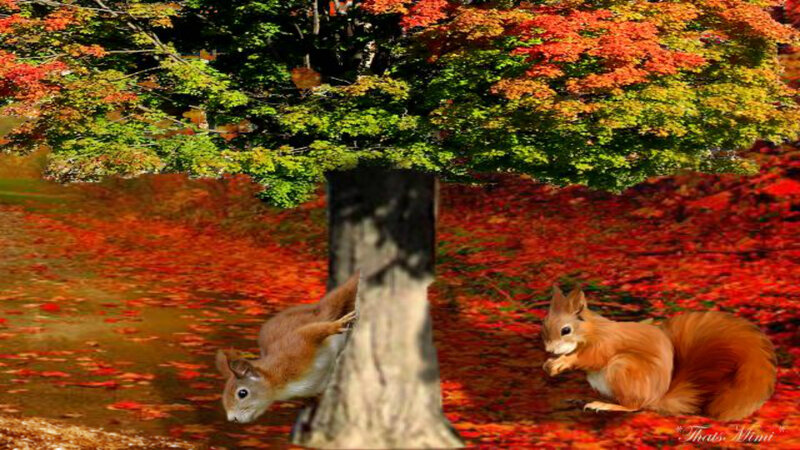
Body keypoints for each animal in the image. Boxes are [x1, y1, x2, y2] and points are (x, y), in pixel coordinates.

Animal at [216, 272, 359, 424]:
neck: (281, 385)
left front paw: (337, 325)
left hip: (330, 308)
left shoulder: (298, 344)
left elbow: (313, 331)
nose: (232, 419)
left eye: (242, 393)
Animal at [542, 286, 776, 420]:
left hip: (623, 368)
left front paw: (562, 362)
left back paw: (606, 405)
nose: (549, 350)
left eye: (566, 330)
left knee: (635, 407)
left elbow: (592, 358)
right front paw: (550, 363)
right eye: (544, 325)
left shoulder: (606, 343)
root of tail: (657, 397)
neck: (590, 330)